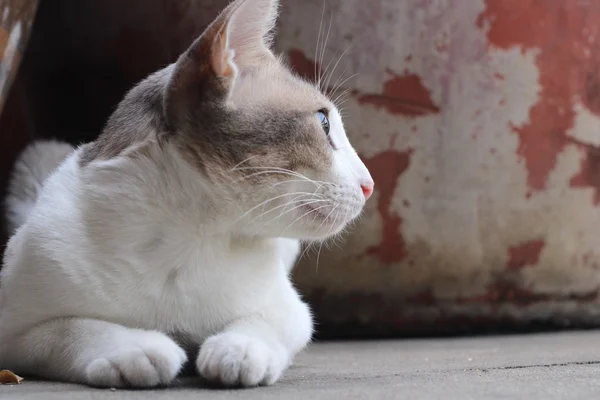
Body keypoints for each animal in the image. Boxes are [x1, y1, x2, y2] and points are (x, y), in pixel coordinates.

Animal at [0, 0, 372, 390]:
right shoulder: (14, 330)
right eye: (324, 123)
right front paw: (138, 350)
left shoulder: (289, 310)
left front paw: (237, 351)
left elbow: (264, 323)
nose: (370, 184)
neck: (193, 236)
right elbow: (68, 330)